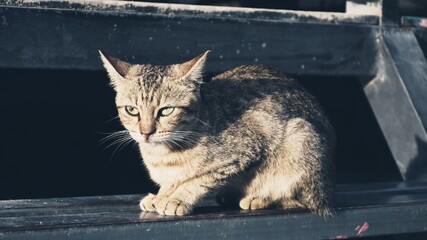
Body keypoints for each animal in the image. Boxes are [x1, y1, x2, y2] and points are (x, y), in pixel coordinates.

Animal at [98, 50, 336, 216]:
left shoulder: (243, 151)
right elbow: (173, 181)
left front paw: (177, 198)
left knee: (300, 199)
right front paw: (162, 194)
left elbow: (198, 180)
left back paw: (259, 198)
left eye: (166, 111)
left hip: (301, 137)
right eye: (132, 110)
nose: (146, 132)